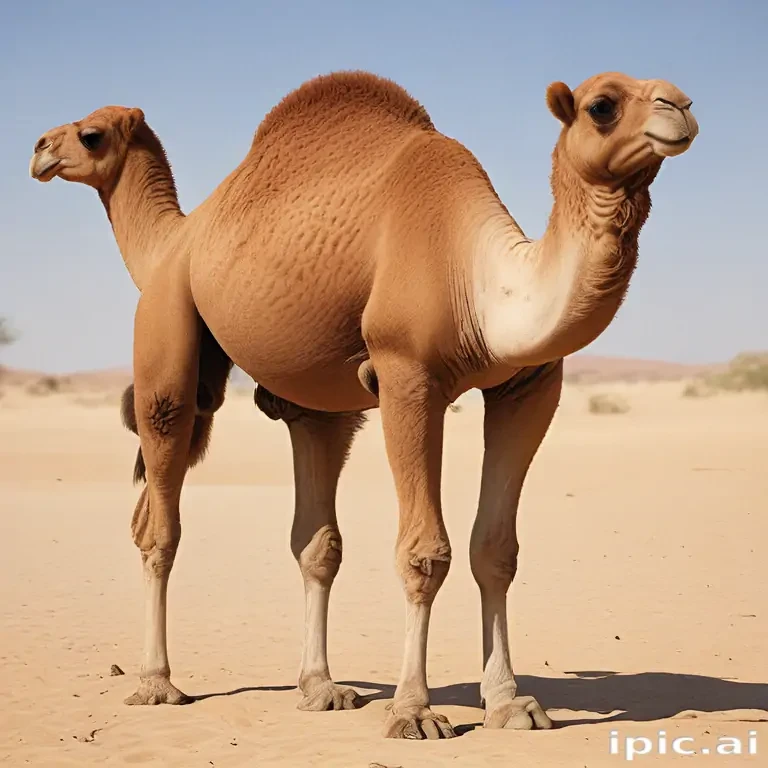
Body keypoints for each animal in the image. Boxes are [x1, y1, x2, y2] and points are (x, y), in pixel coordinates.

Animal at [30, 70, 698, 739]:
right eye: (602, 105)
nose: (682, 108)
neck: (480, 282)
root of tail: (177, 242)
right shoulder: (407, 376)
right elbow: (425, 553)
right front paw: (414, 712)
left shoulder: (530, 387)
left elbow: (495, 551)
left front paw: (510, 704)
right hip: (166, 331)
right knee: (160, 515)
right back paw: (157, 684)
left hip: (321, 404)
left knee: (315, 537)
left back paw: (320, 688)